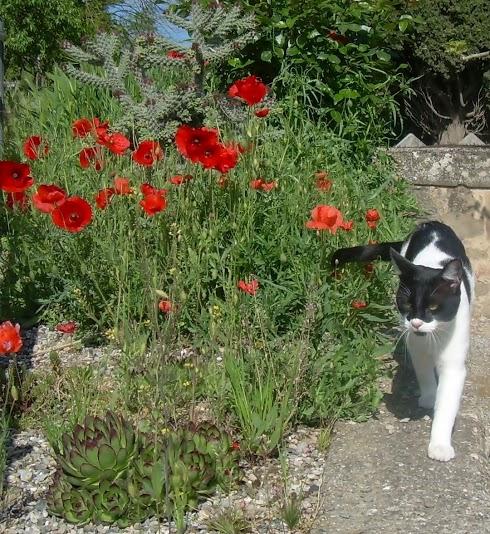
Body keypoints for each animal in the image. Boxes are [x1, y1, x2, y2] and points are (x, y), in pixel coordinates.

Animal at [334, 223, 474, 464]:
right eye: (407, 303)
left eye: (434, 307)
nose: (416, 323)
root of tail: (432, 223)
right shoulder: (416, 346)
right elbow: (424, 373)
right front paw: (429, 397)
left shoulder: (454, 361)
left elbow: (447, 402)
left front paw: (440, 446)